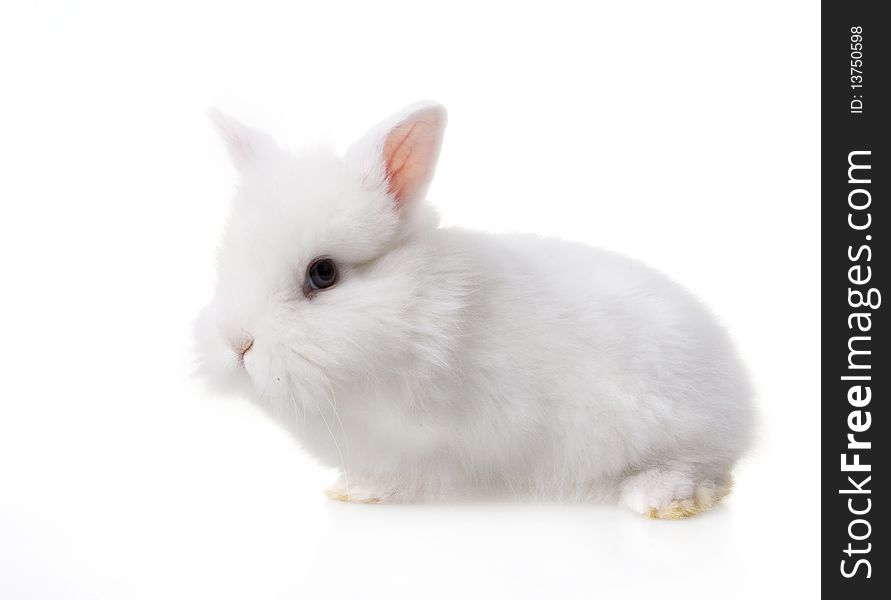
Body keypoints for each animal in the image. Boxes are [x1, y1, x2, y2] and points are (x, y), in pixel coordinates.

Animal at [193, 101, 752, 516]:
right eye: (227, 264)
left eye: (323, 273)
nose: (238, 344)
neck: (419, 311)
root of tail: (744, 403)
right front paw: (349, 486)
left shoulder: (439, 442)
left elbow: (418, 476)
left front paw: (367, 491)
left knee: (705, 468)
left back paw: (657, 498)